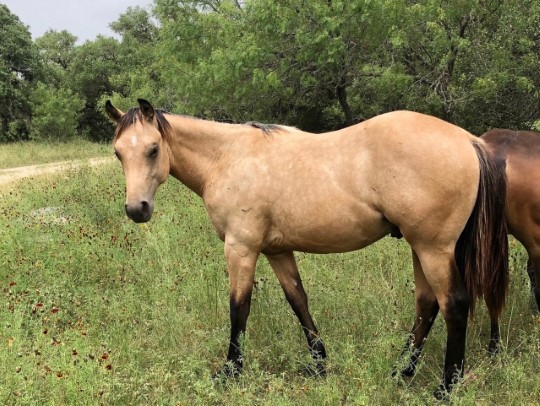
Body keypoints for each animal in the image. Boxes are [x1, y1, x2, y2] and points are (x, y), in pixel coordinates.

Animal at [106, 100, 510, 398]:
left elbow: (239, 308)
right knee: (427, 306)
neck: (228, 157)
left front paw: (230, 371)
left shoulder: (241, 247)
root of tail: (469, 141)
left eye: (153, 149)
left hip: (433, 249)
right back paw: (401, 372)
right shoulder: (276, 251)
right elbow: (298, 300)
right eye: (118, 153)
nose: (136, 209)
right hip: (420, 248)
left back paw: (445, 387)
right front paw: (318, 364)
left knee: (453, 304)